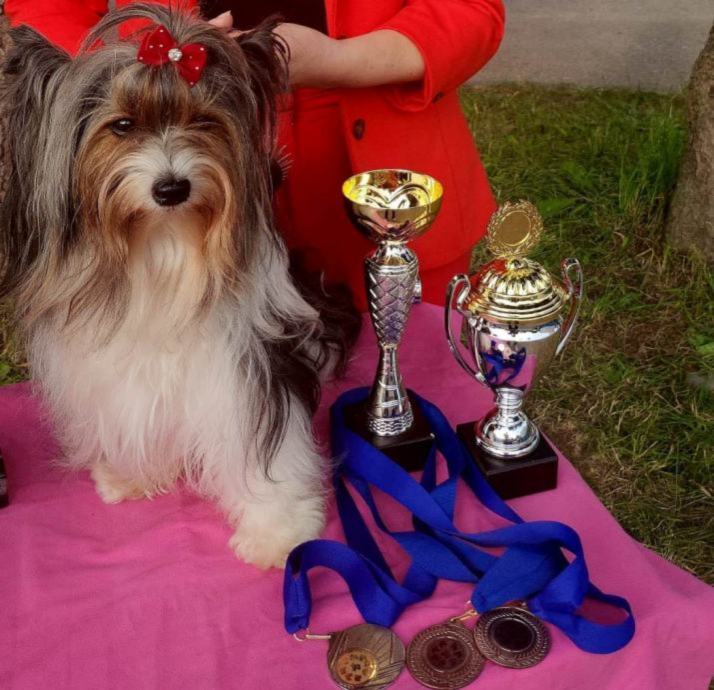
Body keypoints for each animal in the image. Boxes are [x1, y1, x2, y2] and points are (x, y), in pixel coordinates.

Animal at [0, 4, 358, 568]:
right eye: (122, 126)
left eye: (204, 122)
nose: (172, 187)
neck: (164, 245)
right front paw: (130, 472)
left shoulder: (247, 365)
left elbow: (267, 440)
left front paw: (277, 530)